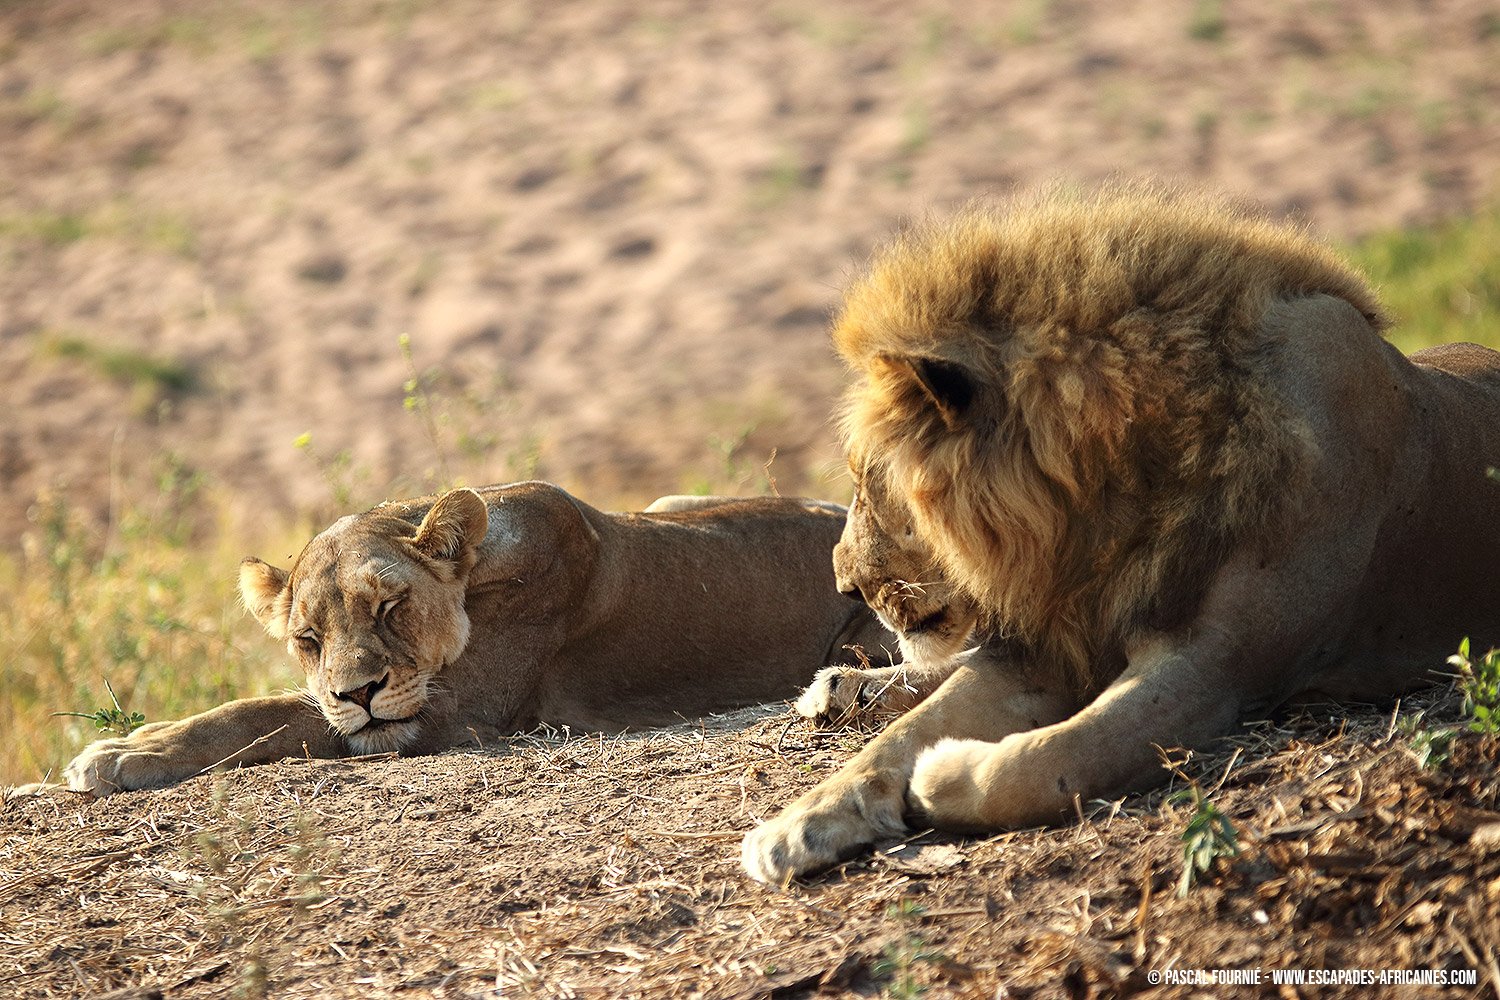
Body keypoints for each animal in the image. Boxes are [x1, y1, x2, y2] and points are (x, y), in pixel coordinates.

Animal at [62, 482, 895, 795]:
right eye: (307, 638)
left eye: (391, 607)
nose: (358, 691)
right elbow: (278, 704)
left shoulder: (446, 715)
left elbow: (269, 714)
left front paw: (122, 753)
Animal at [742, 186, 1500, 883]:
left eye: (867, 479)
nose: (843, 583)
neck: (1104, 503)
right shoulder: (1046, 646)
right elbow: (899, 739)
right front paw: (796, 825)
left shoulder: (1215, 665)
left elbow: (1051, 759)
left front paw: (941, 773)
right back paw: (841, 688)